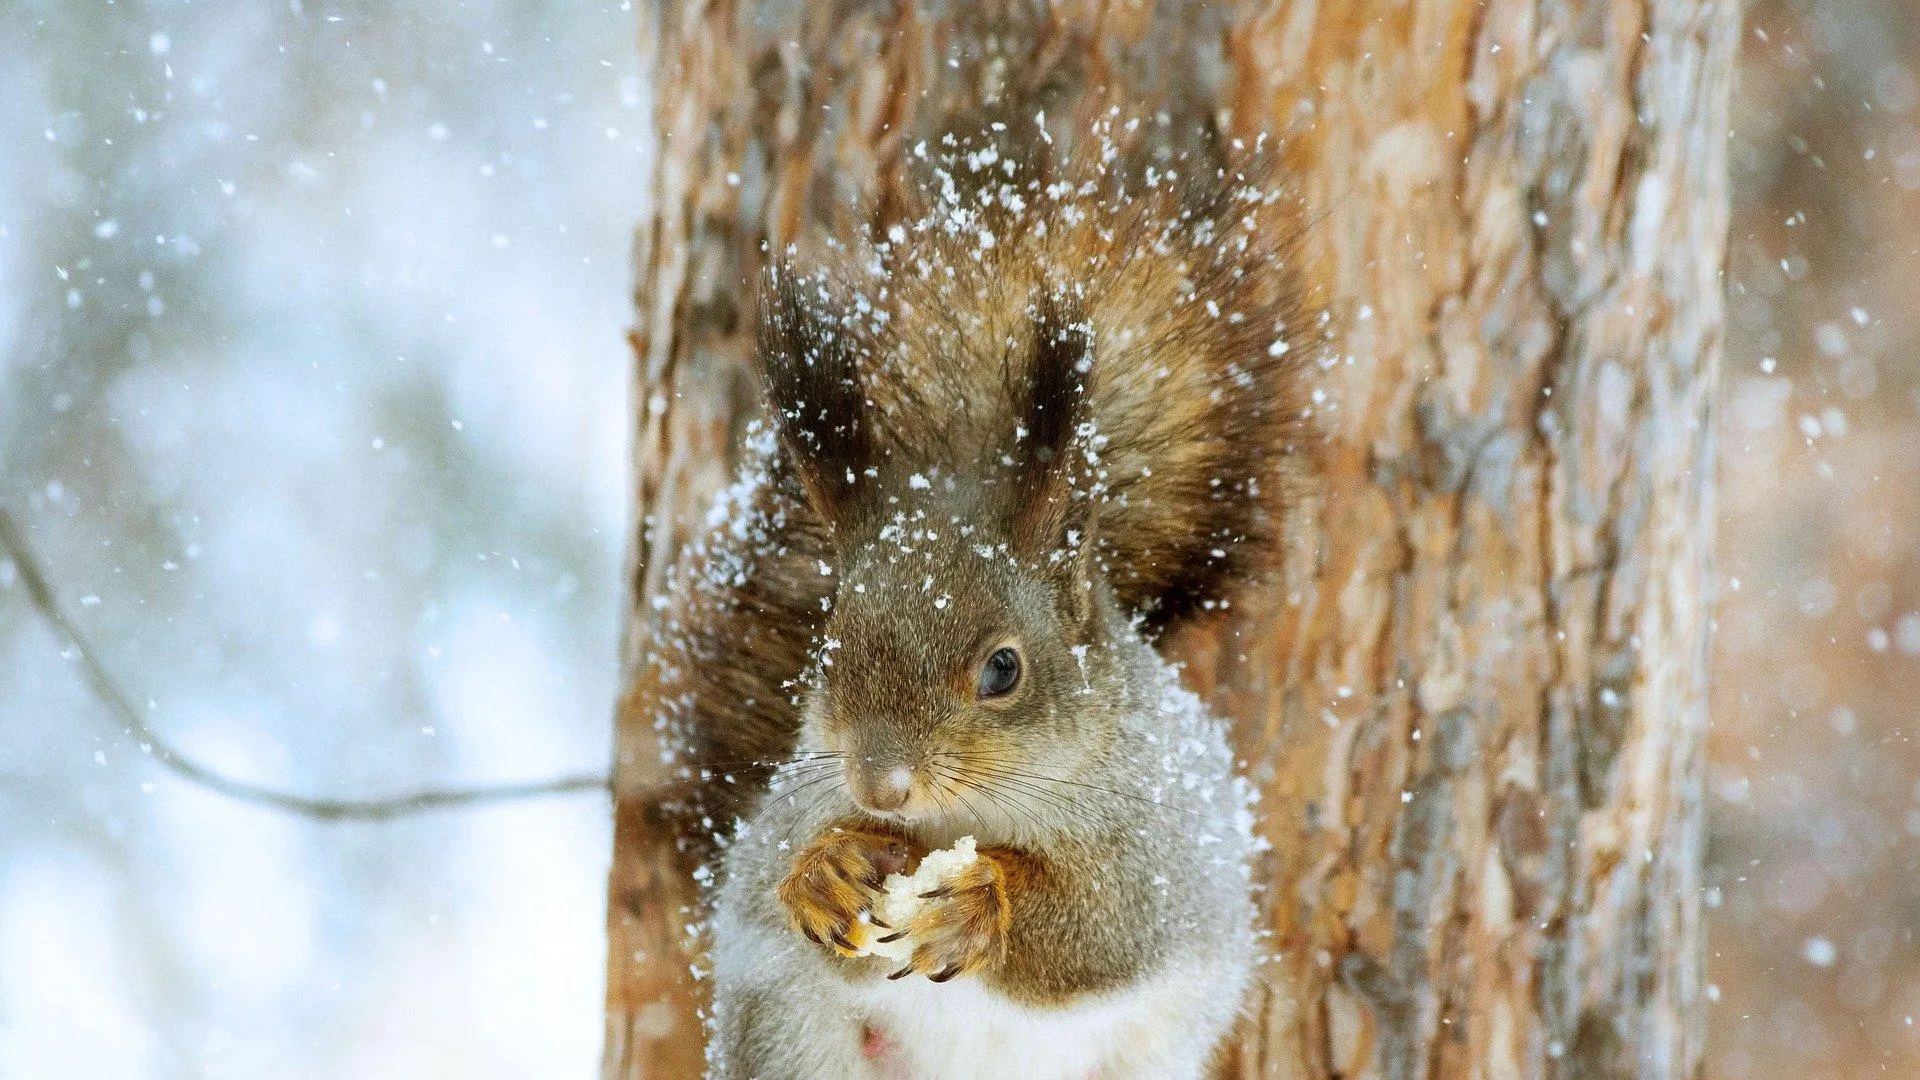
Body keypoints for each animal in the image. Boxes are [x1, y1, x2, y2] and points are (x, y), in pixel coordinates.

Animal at [672, 130, 1305, 1076]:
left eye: (1004, 670)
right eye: (827, 649)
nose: (881, 786)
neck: (964, 816)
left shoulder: (1162, 850)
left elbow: (1101, 932)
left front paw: (982, 904)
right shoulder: (787, 813)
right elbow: (765, 874)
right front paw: (825, 872)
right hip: (788, 1038)